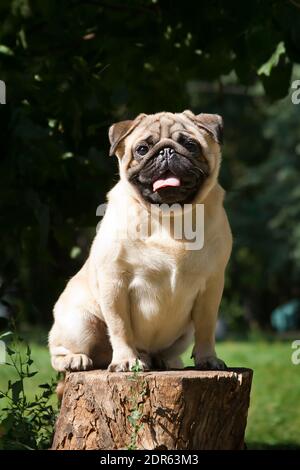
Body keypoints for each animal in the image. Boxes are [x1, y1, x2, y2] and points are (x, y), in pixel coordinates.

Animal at [48, 109, 232, 370]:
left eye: (190, 145)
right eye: (143, 149)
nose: (167, 151)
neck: (168, 217)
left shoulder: (211, 287)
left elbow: (206, 329)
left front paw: (208, 359)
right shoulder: (115, 283)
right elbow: (120, 328)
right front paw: (126, 360)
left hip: (183, 333)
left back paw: (163, 360)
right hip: (80, 323)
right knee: (61, 351)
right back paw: (77, 359)